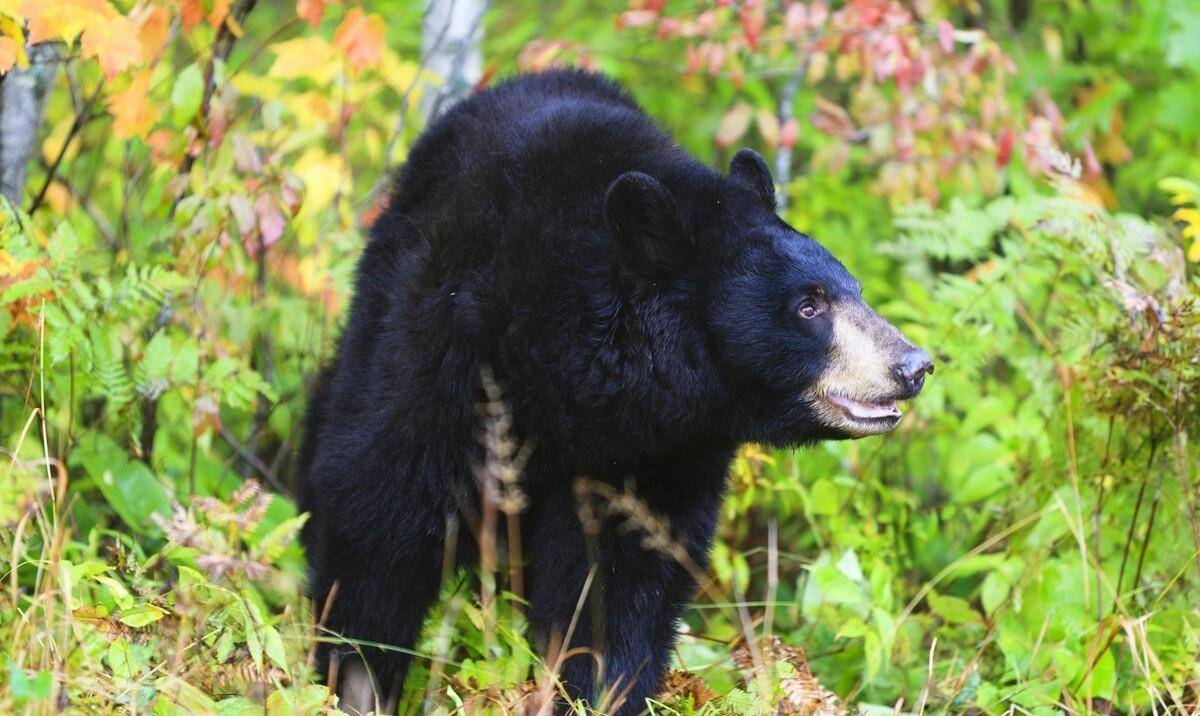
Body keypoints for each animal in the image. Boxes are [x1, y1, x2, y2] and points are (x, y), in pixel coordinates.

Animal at [297, 68, 926, 714]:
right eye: (809, 305)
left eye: (853, 289)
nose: (913, 365)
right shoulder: (447, 344)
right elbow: (380, 509)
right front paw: (355, 681)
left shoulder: (654, 452)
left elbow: (621, 577)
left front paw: (601, 690)